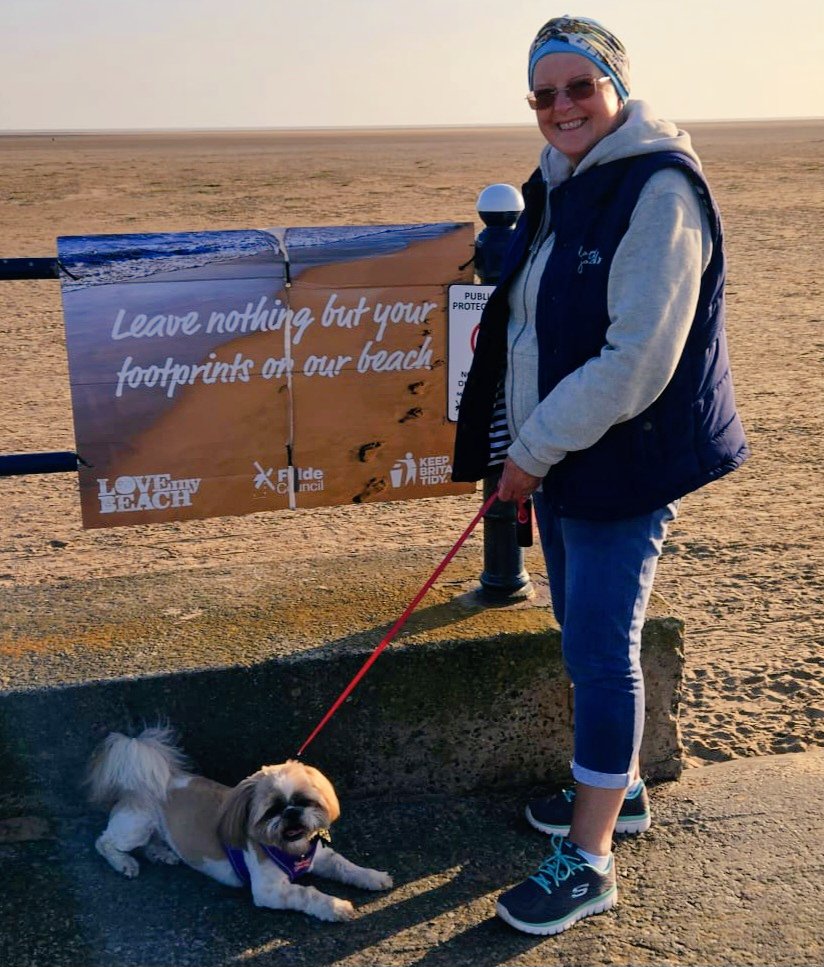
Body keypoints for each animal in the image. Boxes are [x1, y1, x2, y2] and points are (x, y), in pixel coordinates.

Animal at [87, 728, 392, 924]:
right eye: (271, 811)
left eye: (304, 801)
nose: (291, 812)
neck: (292, 849)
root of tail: (144, 780)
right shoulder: (270, 890)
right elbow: (306, 893)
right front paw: (335, 906)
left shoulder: (321, 857)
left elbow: (345, 866)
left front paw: (372, 876)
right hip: (136, 826)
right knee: (104, 842)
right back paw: (124, 863)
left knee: (151, 843)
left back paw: (162, 854)